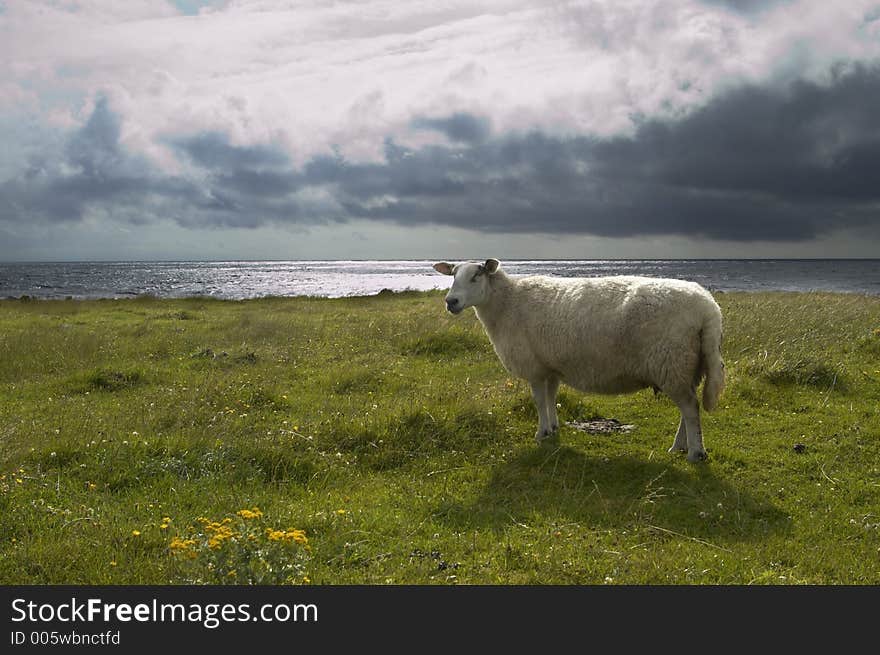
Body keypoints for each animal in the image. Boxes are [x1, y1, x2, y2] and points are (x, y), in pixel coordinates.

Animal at [430, 258, 724, 464]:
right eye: (453, 275)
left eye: (476, 276)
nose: (450, 301)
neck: (505, 303)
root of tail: (708, 308)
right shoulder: (550, 366)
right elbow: (551, 398)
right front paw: (553, 429)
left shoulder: (534, 368)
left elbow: (539, 401)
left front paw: (541, 434)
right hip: (685, 366)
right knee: (688, 408)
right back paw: (680, 446)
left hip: (672, 362)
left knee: (690, 409)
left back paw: (695, 454)